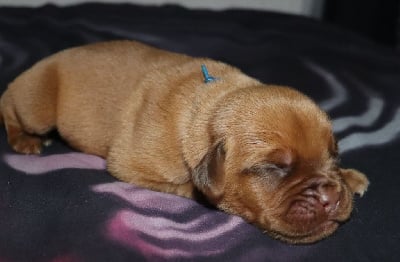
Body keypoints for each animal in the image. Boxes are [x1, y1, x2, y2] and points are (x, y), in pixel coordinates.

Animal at [0, 40, 368, 244]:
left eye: (334, 155)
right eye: (275, 167)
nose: (331, 196)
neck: (214, 100)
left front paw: (349, 177)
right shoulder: (130, 164)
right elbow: (189, 187)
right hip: (37, 107)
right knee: (8, 108)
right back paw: (25, 141)